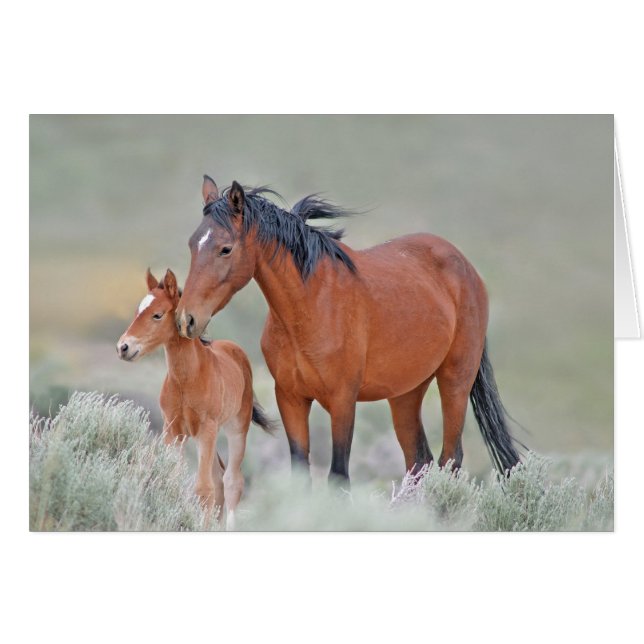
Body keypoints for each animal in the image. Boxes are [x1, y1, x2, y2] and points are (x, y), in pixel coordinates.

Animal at [117, 268, 274, 528]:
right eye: (138, 311)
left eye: (157, 315)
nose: (123, 347)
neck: (187, 379)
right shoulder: (173, 431)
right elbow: (174, 478)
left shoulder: (207, 428)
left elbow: (204, 489)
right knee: (218, 479)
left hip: (235, 429)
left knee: (231, 481)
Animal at [176, 176, 521, 484]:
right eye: (192, 244)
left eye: (225, 249)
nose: (186, 319)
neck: (310, 307)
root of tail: (465, 267)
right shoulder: (290, 398)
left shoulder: (343, 402)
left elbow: (339, 478)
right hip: (406, 394)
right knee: (418, 463)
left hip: (455, 382)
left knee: (450, 461)